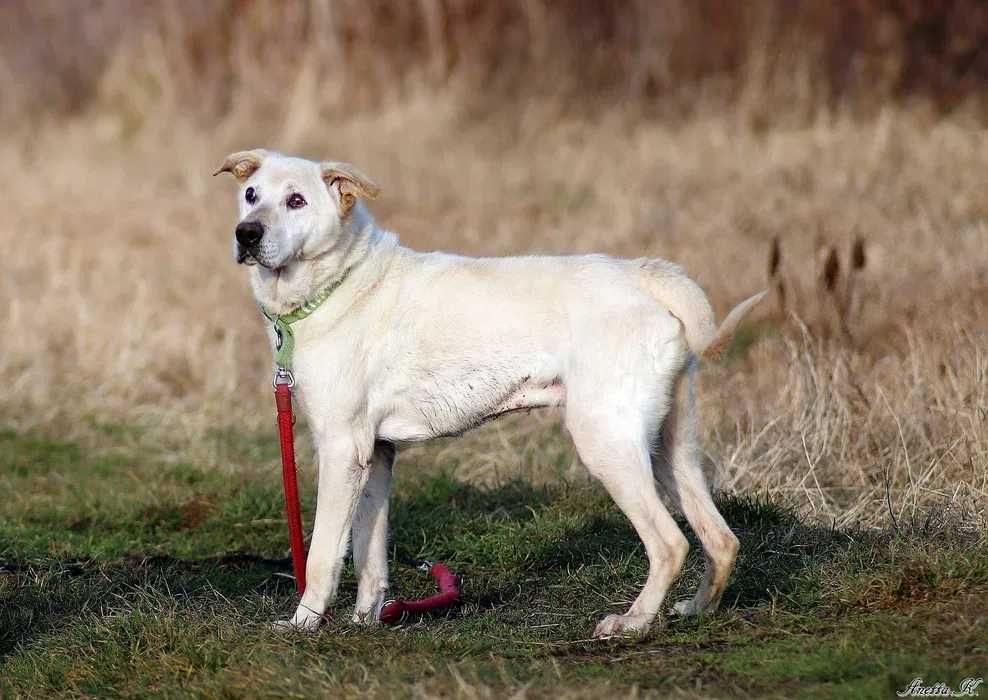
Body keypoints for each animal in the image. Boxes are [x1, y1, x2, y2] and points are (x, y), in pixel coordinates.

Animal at [210, 150, 764, 636]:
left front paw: (304, 624)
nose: (246, 233)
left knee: (671, 543)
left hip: (607, 442)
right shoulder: (377, 455)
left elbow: (324, 552)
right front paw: (367, 620)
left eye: (297, 201)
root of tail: (644, 275)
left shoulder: (342, 449)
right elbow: (371, 551)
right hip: (671, 447)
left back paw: (632, 623)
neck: (341, 281)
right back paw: (695, 610)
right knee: (722, 539)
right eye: (251, 194)